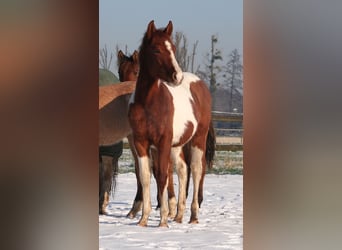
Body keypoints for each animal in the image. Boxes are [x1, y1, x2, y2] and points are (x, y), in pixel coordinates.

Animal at [129, 20, 214, 228]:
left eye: (173, 48)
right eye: (156, 49)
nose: (177, 77)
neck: (148, 104)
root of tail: (199, 83)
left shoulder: (163, 143)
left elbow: (162, 176)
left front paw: (162, 221)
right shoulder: (141, 143)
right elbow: (145, 177)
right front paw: (143, 219)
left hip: (198, 138)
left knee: (196, 169)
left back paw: (193, 216)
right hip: (177, 145)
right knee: (183, 170)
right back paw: (179, 216)